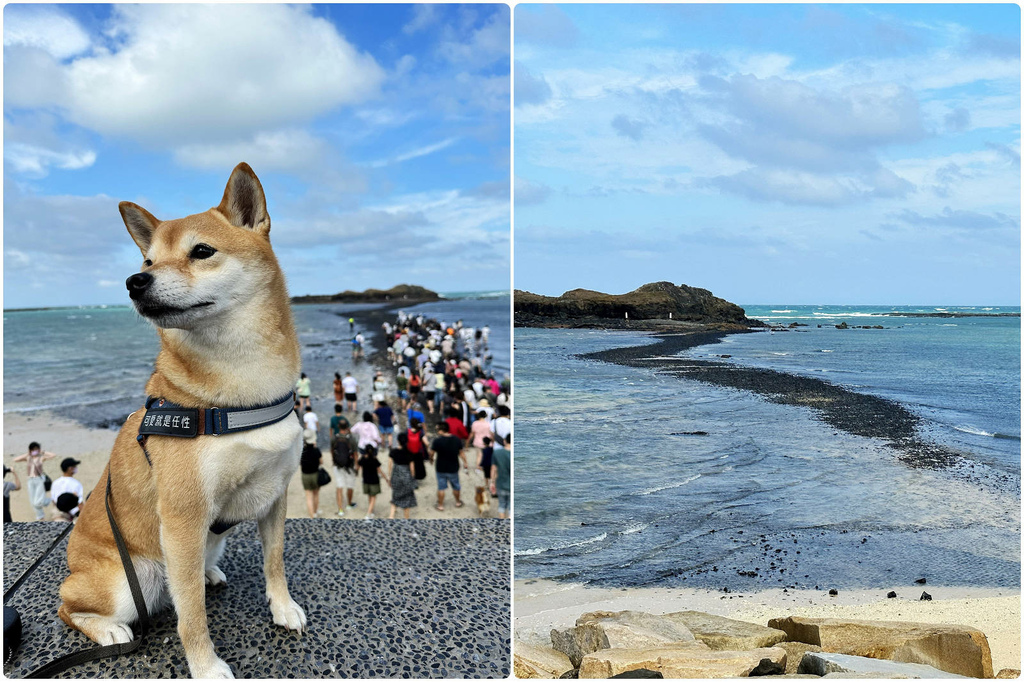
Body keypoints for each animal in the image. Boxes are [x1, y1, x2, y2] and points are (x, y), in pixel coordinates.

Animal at [58, 160, 305, 675]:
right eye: (148, 262)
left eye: (202, 251)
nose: (135, 281)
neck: (241, 391)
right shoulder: (183, 519)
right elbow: (190, 614)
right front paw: (207, 667)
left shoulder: (276, 493)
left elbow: (274, 560)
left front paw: (283, 607)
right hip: (128, 579)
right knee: (68, 605)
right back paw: (108, 630)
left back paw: (209, 572)